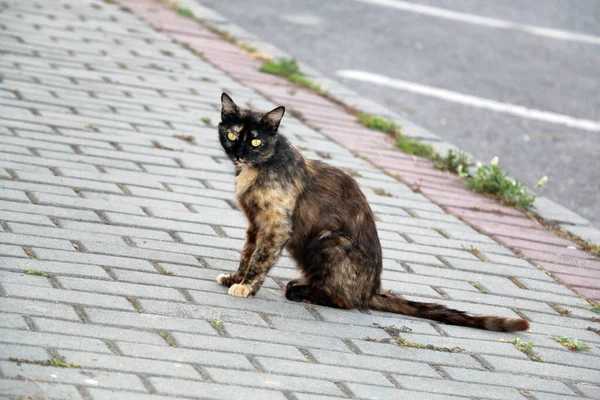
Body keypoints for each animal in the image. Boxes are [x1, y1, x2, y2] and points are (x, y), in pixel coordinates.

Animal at [214, 93, 528, 332]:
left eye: (256, 141)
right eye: (233, 135)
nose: (240, 153)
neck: (258, 168)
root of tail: (373, 290)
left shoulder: (275, 226)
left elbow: (259, 259)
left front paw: (246, 287)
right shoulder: (255, 225)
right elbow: (247, 254)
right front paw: (235, 278)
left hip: (328, 241)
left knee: (345, 300)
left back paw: (300, 290)